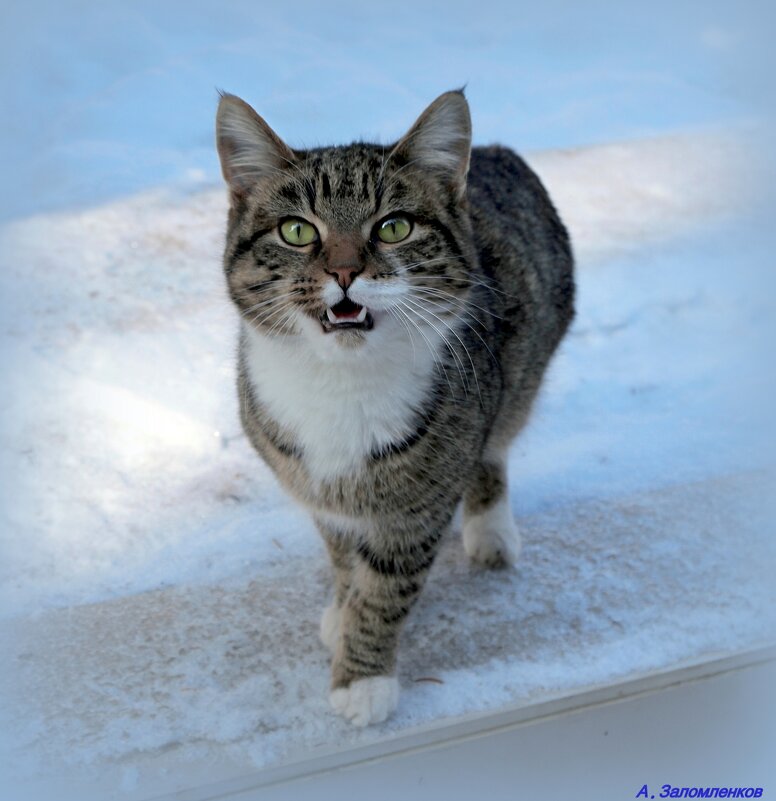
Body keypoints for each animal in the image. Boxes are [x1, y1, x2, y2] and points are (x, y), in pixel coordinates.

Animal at [215, 87, 572, 724]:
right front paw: (342, 611)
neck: (341, 382)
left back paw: (490, 530)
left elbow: (385, 590)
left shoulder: (417, 508)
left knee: (494, 445)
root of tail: (498, 152)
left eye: (394, 226)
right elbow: (343, 557)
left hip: (521, 372)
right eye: (297, 231)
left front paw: (362, 679)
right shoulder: (317, 488)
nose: (344, 271)